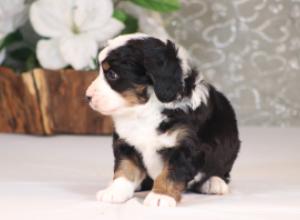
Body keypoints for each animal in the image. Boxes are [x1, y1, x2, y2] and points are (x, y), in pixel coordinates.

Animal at [85, 32, 240, 206]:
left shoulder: (186, 146)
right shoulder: (126, 142)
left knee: (221, 171)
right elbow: (125, 167)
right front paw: (115, 191)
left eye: (112, 75)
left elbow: (172, 172)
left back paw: (214, 182)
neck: (144, 110)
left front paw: (161, 196)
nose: (87, 97)